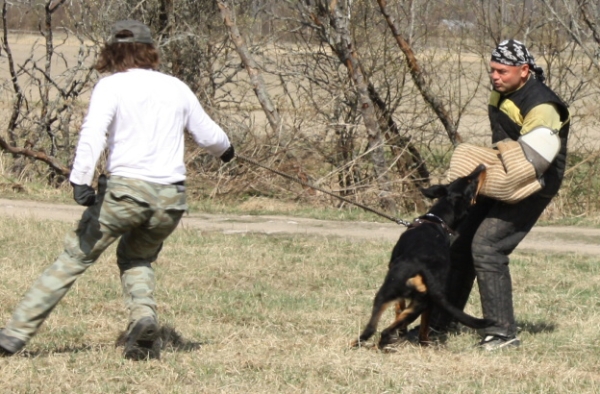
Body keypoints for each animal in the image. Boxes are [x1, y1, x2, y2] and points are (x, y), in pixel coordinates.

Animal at [352, 165, 492, 350]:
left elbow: (399, 307)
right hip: (417, 300)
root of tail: (423, 267)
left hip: (391, 293)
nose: (482, 166)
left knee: (375, 329)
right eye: (469, 180)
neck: (437, 220)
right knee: (389, 328)